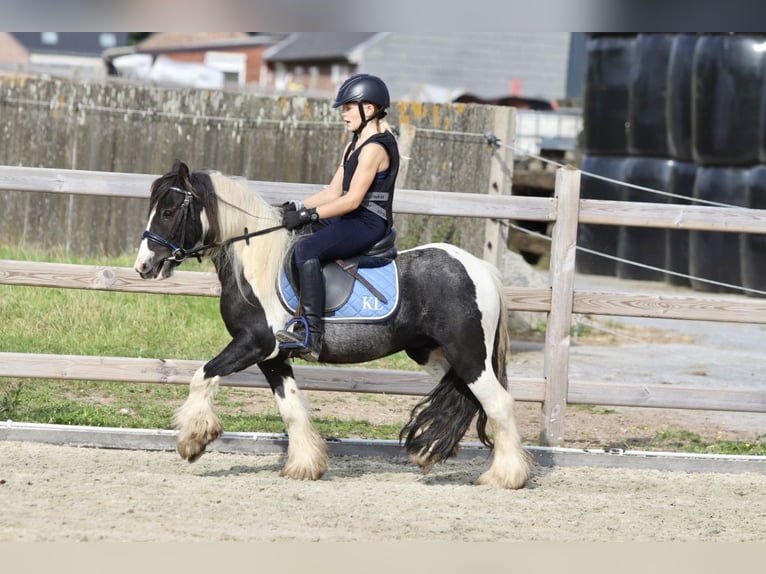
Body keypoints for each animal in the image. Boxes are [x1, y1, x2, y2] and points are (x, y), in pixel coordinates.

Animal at [135, 162, 532, 490]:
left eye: (168, 211)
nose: (144, 266)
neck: (256, 265)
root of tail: (480, 268)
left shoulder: (254, 344)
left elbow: (201, 376)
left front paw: (193, 441)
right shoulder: (273, 356)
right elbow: (291, 408)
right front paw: (305, 466)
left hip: (468, 353)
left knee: (498, 404)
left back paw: (505, 477)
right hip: (435, 354)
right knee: (469, 398)